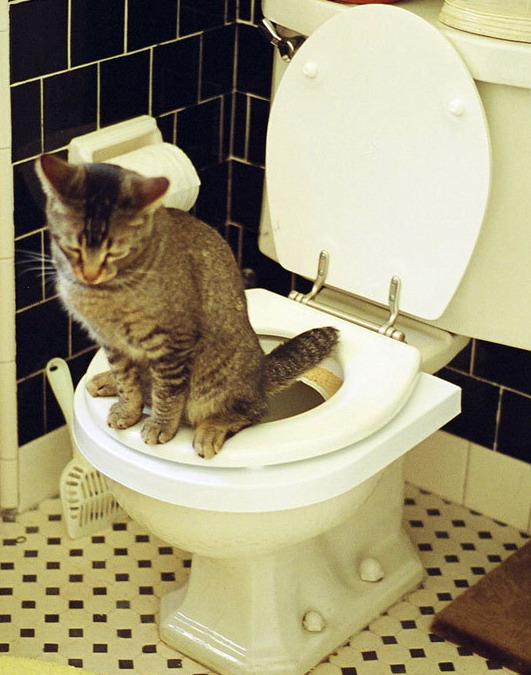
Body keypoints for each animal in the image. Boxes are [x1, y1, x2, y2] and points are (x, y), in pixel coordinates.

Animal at [36, 153, 339, 459]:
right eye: (71, 247)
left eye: (115, 253)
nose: (89, 274)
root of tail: (263, 372)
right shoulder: (111, 342)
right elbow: (127, 381)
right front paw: (127, 409)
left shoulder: (172, 342)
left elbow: (167, 393)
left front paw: (160, 425)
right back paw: (105, 380)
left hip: (216, 381)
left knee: (251, 410)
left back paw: (212, 428)